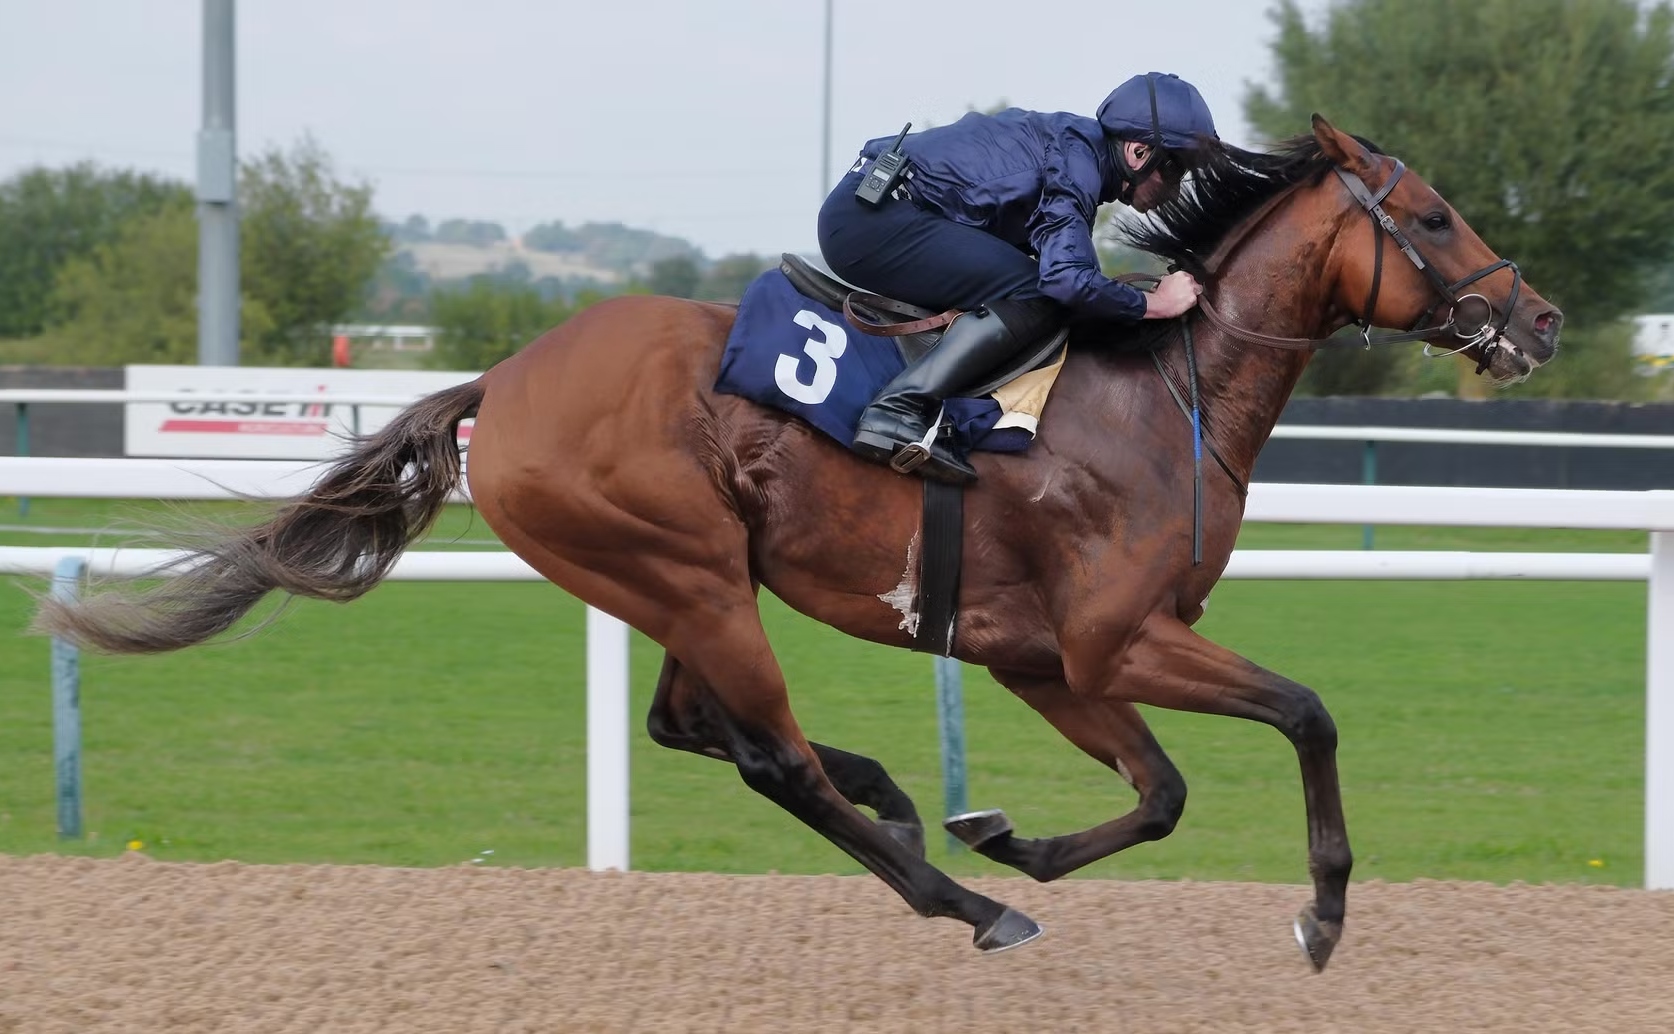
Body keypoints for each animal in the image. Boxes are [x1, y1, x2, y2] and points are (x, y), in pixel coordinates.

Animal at [34, 116, 1562, 971]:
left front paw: (1005, 827)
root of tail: (503, 383)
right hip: (691, 572)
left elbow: (1163, 789)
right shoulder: (1110, 638)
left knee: (693, 726)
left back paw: (904, 806)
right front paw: (1321, 915)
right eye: (1433, 216)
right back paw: (956, 898)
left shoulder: (1043, 658)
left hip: (673, 581)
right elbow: (1303, 713)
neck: (1160, 397)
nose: (1537, 319)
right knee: (764, 754)